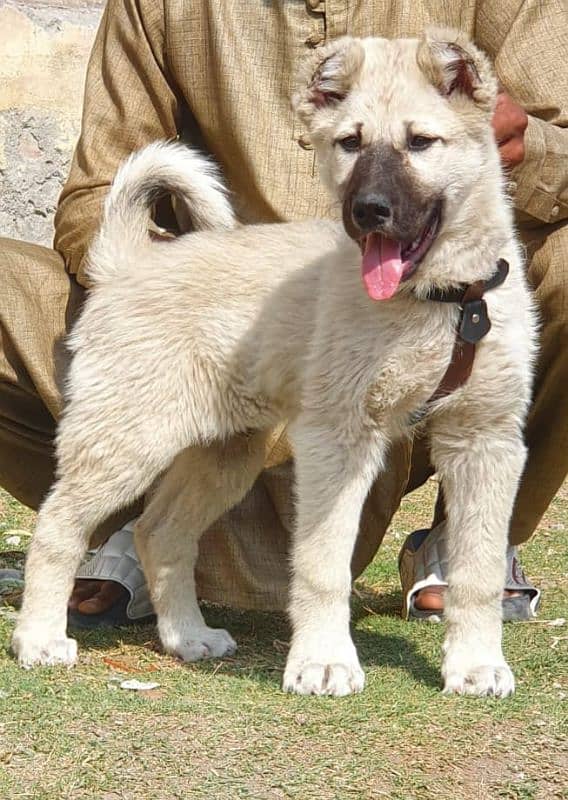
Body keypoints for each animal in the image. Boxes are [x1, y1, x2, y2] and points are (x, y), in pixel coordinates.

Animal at [13, 28, 536, 696]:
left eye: (420, 142)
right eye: (349, 143)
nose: (368, 211)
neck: (442, 304)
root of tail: (128, 261)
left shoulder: (485, 442)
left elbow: (478, 570)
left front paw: (475, 665)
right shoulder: (338, 441)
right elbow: (321, 565)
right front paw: (324, 661)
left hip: (225, 452)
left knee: (161, 533)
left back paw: (187, 637)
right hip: (127, 437)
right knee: (58, 527)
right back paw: (39, 639)